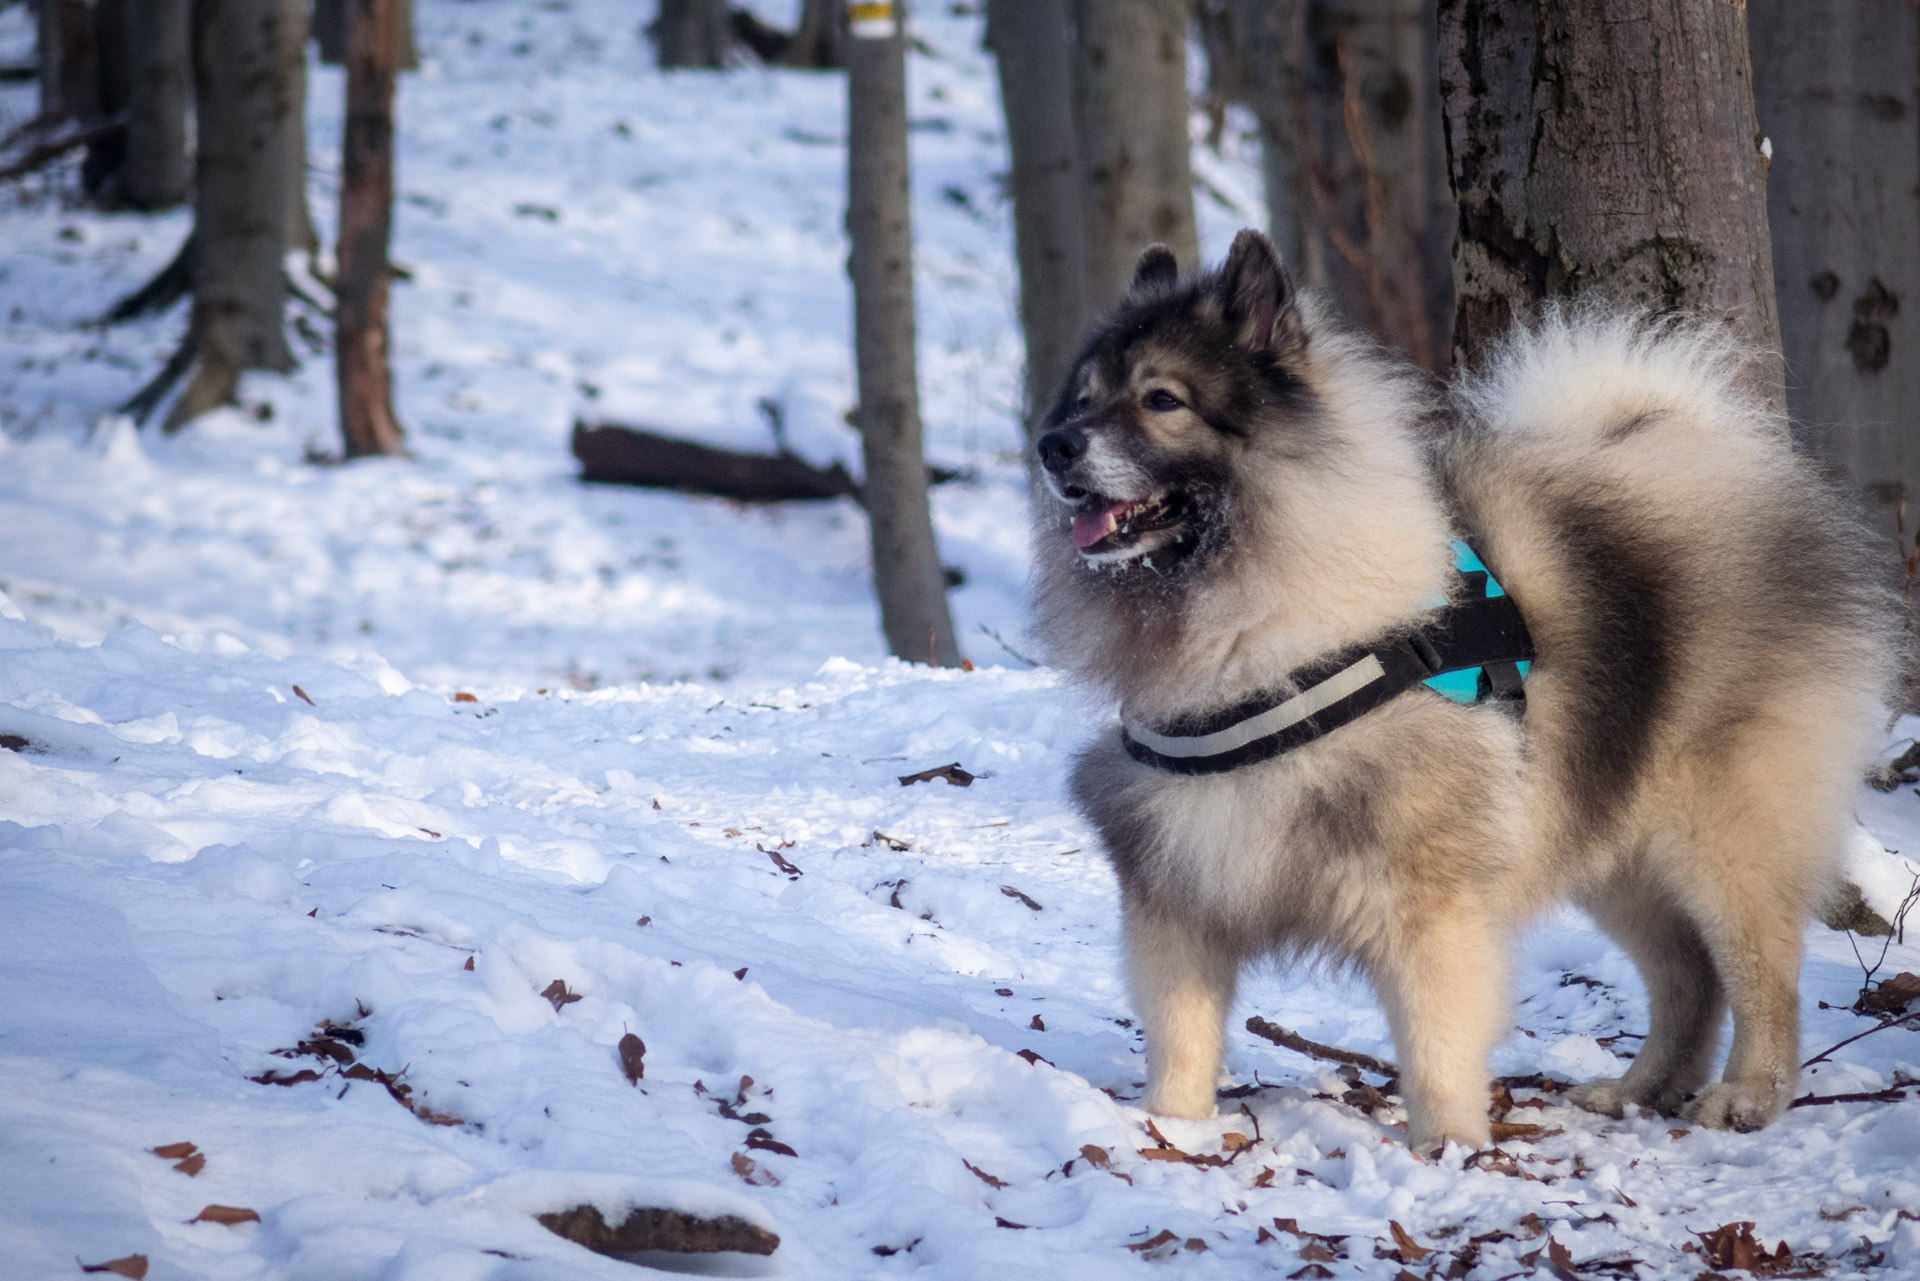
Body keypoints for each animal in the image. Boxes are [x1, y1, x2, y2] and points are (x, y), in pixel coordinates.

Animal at [1029, 227, 1896, 1152]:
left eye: (1162, 399)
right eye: (1082, 399)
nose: (1054, 444)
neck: (1262, 634)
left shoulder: (1425, 900)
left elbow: (1435, 1039)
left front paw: (1446, 1147)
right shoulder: (1178, 885)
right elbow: (1180, 1034)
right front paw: (1171, 1131)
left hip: (1719, 836)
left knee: (1763, 971)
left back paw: (1748, 1095)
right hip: (1607, 836)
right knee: (1686, 977)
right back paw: (1639, 1088)